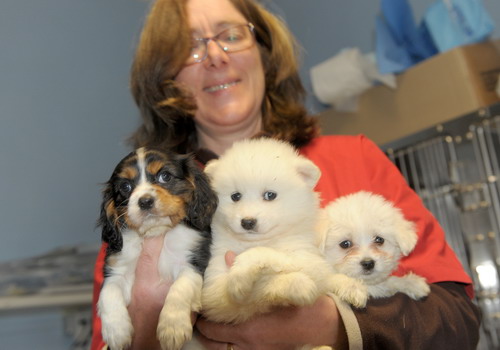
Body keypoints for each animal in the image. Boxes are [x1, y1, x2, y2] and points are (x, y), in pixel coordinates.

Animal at [96, 148, 216, 350]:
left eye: (165, 176)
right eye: (126, 187)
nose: (145, 201)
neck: (155, 232)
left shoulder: (192, 263)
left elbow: (180, 288)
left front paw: (172, 327)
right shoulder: (118, 269)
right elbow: (108, 292)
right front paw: (116, 332)